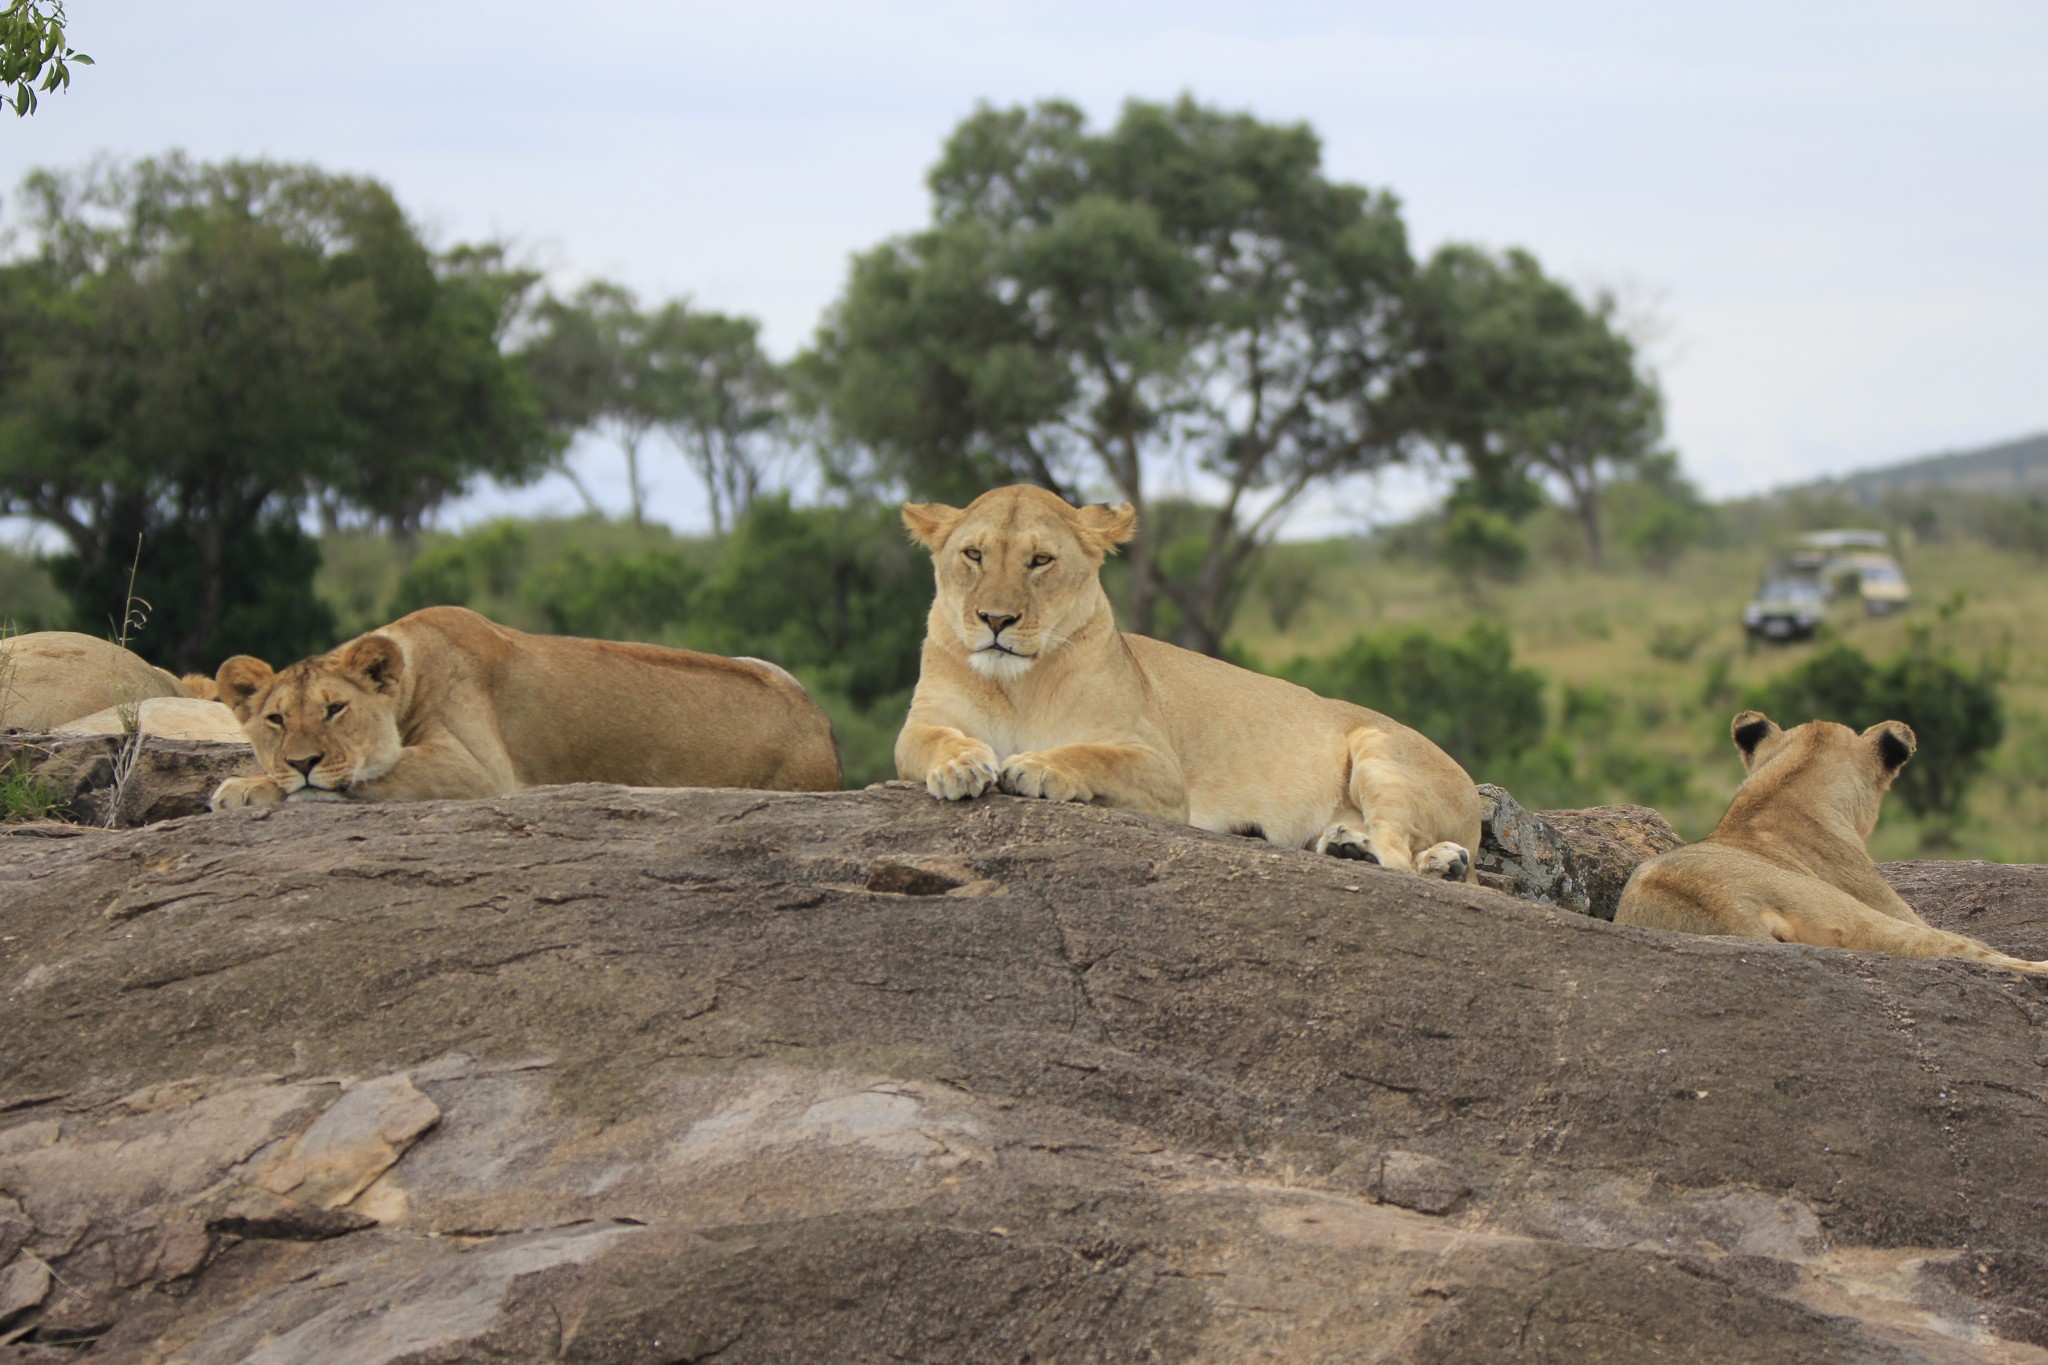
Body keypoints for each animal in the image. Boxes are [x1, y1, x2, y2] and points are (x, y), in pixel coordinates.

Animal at [207, 609, 839, 810]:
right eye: (276, 719)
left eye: (336, 708)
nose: (302, 761)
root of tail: (821, 726)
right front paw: (256, 780)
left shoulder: (479, 771)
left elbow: (357, 780)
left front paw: (250, 787)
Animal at [888, 485, 1482, 879]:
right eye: (973, 555)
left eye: (1040, 561)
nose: (995, 620)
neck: (1015, 684)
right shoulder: (923, 724)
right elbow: (929, 741)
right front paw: (961, 765)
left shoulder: (1161, 771)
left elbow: (1090, 754)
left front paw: (1036, 767)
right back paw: (1381, 851)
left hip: (1378, 749)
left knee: (1400, 857)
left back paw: (1401, 857)